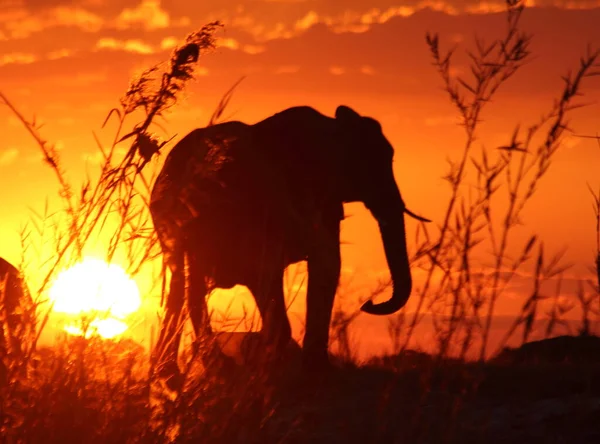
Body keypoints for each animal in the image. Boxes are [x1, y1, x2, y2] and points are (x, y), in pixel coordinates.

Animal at [150, 105, 426, 386]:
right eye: (371, 162)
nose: (368, 303)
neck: (329, 127)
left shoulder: (323, 204)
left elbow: (327, 265)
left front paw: (318, 372)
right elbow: (271, 271)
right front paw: (274, 372)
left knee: (181, 286)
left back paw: (175, 375)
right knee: (191, 284)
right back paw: (213, 371)